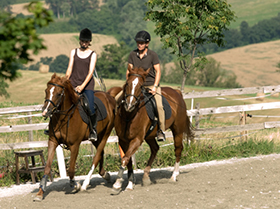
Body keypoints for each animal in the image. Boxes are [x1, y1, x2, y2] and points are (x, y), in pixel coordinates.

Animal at [34, 73, 116, 201]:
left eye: (58, 94)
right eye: (46, 91)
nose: (45, 111)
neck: (64, 117)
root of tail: (108, 96)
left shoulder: (75, 145)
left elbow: (71, 170)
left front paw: (75, 185)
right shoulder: (52, 141)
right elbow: (47, 167)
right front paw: (40, 193)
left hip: (105, 134)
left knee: (97, 156)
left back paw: (85, 184)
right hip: (96, 138)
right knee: (101, 153)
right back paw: (105, 175)